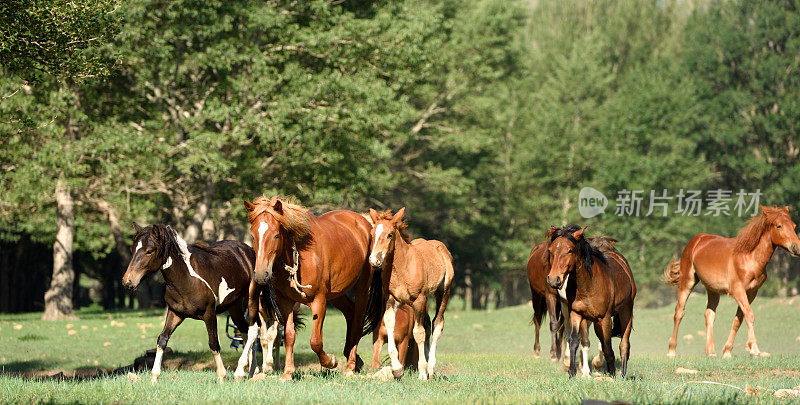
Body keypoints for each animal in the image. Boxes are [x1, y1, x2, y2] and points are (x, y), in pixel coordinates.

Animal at [122, 221, 253, 382]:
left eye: (149, 251)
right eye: (132, 249)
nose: (128, 281)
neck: (187, 278)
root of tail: (247, 250)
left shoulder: (210, 314)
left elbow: (214, 343)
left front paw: (221, 376)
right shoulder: (175, 313)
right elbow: (162, 340)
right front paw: (154, 377)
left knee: (255, 330)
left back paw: (244, 371)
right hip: (235, 308)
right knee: (245, 332)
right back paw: (250, 370)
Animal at [242, 195, 382, 378]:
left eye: (276, 235)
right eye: (253, 235)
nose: (260, 274)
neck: (299, 257)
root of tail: (364, 222)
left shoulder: (319, 301)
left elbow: (315, 341)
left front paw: (330, 361)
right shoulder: (285, 303)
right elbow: (289, 336)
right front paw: (288, 373)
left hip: (362, 289)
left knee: (357, 323)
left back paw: (350, 366)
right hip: (337, 294)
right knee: (350, 314)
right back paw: (355, 360)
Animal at [368, 207, 454, 380]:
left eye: (390, 234)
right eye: (373, 233)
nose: (375, 261)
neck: (403, 268)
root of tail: (441, 247)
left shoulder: (418, 300)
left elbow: (418, 332)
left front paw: (422, 373)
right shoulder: (392, 300)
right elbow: (390, 323)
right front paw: (397, 368)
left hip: (443, 293)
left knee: (436, 324)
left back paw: (430, 369)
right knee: (427, 324)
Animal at [548, 226, 636, 378]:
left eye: (569, 250)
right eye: (551, 250)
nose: (554, 279)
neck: (588, 284)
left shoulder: (605, 318)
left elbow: (607, 347)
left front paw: (612, 374)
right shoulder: (576, 313)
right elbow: (574, 341)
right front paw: (572, 373)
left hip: (626, 312)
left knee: (624, 344)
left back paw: (623, 374)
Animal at [664, 205, 800, 356]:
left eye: (794, 225)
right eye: (779, 226)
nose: (796, 248)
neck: (749, 257)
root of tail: (696, 240)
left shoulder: (751, 293)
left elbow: (738, 319)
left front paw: (727, 351)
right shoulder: (738, 290)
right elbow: (749, 314)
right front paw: (754, 349)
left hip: (713, 290)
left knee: (709, 314)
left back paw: (711, 352)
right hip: (688, 282)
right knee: (679, 312)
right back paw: (671, 351)